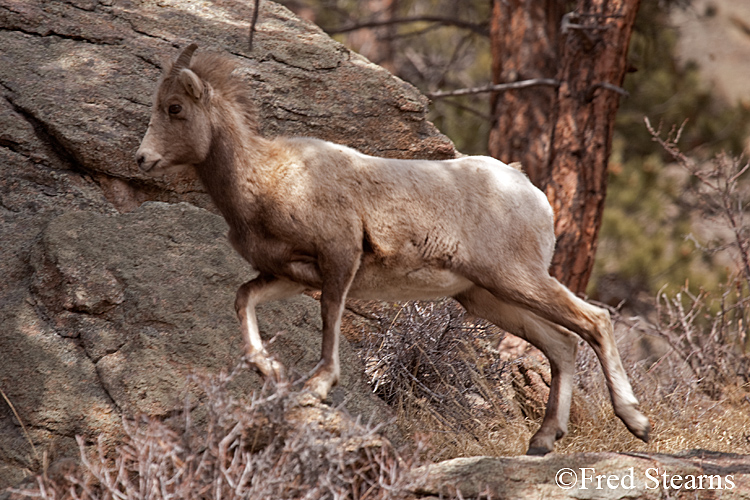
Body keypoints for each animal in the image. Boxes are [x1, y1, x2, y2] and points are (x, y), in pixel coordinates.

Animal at [137, 45, 652, 456]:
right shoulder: (287, 275)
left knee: (594, 321)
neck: (265, 179)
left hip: (516, 279)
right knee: (562, 344)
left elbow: (330, 319)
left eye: (175, 107)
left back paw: (637, 422)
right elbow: (243, 299)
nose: (143, 159)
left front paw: (318, 386)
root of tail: (530, 191)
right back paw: (543, 441)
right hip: (486, 297)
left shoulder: (338, 261)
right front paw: (271, 371)